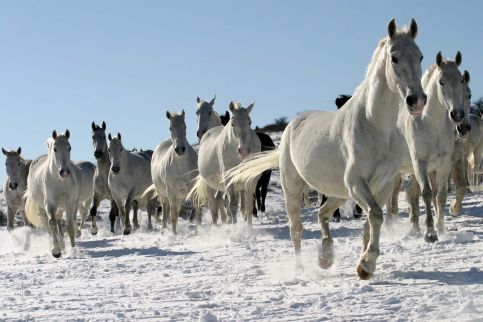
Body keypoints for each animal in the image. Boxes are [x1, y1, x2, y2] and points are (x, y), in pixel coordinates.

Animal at [225, 18, 426, 280]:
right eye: (394, 57)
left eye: (420, 56)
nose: (417, 100)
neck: (373, 125)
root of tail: (291, 127)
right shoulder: (356, 183)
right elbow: (375, 216)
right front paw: (367, 263)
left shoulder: (381, 186)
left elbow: (370, 221)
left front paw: (363, 265)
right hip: (294, 187)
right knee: (297, 229)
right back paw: (300, 269)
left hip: (338, 192)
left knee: (322, 213)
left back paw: (325, 257)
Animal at [388, 52, 470, 240]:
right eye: (441, 82)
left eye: (461, 81)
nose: (457, 115)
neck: (430, 124)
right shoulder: (420, 163)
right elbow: (425, 193)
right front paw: (430, 232)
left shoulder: (444, 164)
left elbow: (440, 195)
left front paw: (441, 228)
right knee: (394, 192)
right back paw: (391, 223)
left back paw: (413, 227)